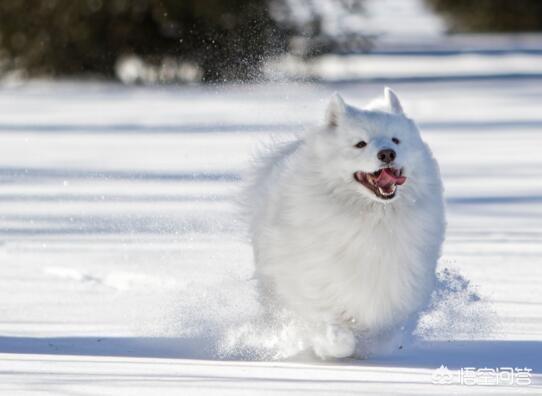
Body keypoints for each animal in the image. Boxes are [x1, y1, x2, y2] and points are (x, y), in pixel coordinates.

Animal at [246, 87, 446, 358]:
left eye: (396, 140)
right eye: (360, 144)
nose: (387, 153)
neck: (371, 218)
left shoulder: (396, 288)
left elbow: (386, 333)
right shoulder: (314, 284)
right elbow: (333, 329)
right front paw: (334, 346)